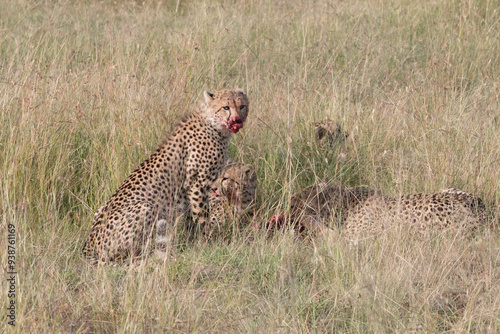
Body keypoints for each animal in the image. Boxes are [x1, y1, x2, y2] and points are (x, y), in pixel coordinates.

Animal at [81, 89, 250, 264]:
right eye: (226, 107)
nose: (237, 120)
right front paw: (208, 240)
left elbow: (191, 219)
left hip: (100, 209)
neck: (212, 124)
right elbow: (202, 216)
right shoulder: (198, 184)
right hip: (146, 207)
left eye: (242, 106)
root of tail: (88, 248)